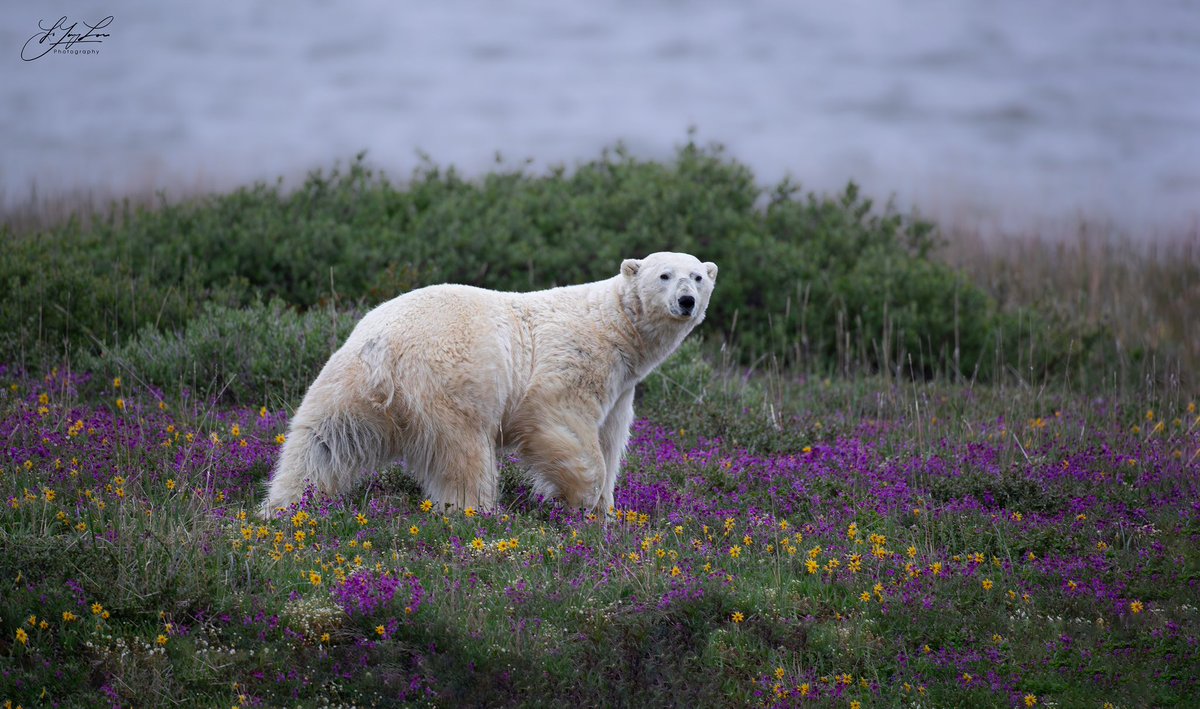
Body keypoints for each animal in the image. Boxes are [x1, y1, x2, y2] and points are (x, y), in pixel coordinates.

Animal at [258, 251, 717, 517]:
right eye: (664, 275)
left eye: (698, 276)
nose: (686, 301)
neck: (614, 327)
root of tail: (383, 349)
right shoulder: (574, 360)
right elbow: (561, 423)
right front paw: (579, 499)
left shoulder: (621, 386)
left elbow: (610, 437)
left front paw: (604, 512)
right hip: (453, 381)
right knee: (464, 454)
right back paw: (475, 512)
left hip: (346, 382)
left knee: (322, 441)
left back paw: (283, 505)